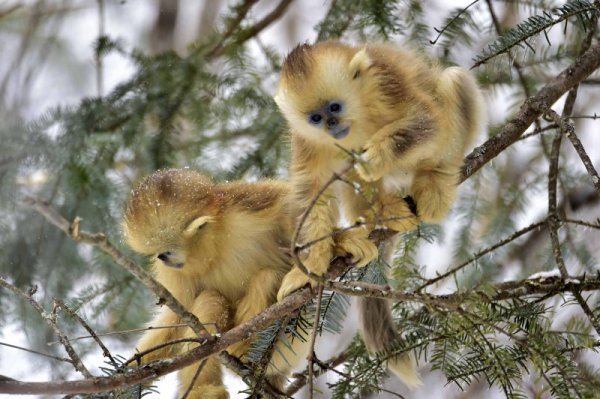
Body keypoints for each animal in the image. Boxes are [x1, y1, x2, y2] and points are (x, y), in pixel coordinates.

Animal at [122, 168, 370, 396]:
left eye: (166, 253)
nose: (160, 259)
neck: (216, 247)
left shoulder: (243, 205)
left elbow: (291, 207)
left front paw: (339, 242)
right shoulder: (177, 276)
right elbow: (175, 322)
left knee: (266, 277)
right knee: (211, 300)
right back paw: (205, 388)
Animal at [274, 40, 486, 388]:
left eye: (335, 108)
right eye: (316, 118)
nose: (332, 126)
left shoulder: (386, 82)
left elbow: (426, 121)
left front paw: (375, 157)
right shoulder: (307, 139)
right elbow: (313, 192)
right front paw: (309, 267)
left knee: (453, 84)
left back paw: (436, 180)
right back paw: (374, 222)